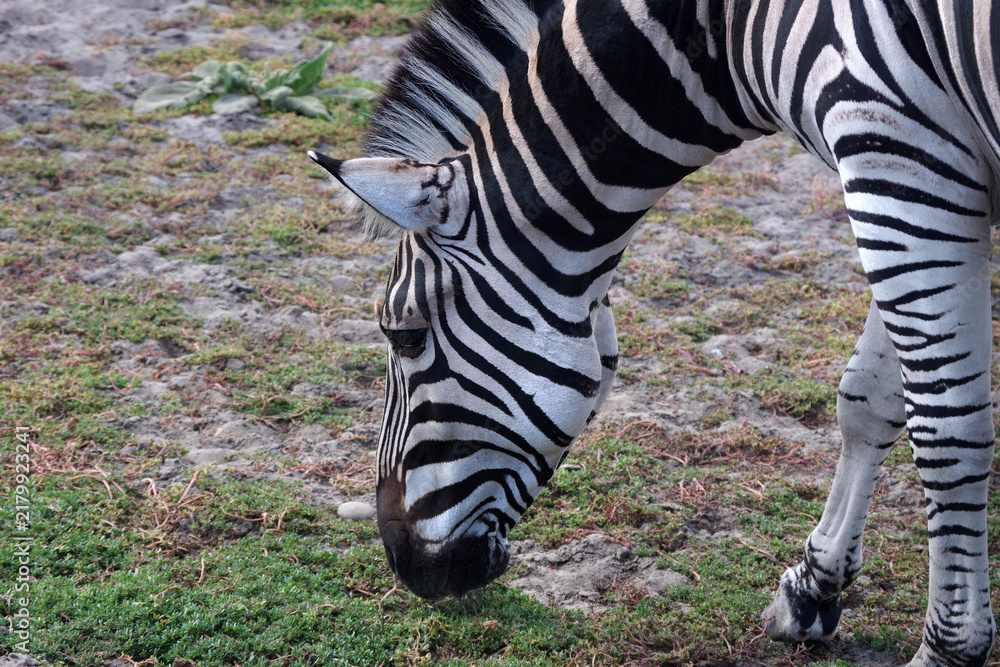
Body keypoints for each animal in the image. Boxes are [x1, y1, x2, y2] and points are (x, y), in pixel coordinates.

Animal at [308, 0, 1000, 664]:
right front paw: (814, 587)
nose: (403, 565)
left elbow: (948, 433)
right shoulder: (922, 179)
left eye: (405, 337)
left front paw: (947, 649)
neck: (724, 31)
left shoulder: (900, 162)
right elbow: (869, 399)